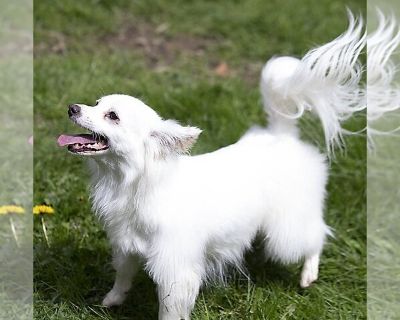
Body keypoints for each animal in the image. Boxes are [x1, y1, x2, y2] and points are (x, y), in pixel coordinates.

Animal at [57, 14, 366, 320]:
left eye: (112, 116)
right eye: (95, 103)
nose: (72, 107)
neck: (133, 184)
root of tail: (282, 134)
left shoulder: (175, 270)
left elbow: (169, 309)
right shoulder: (126, 247)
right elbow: (122, 276)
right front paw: (112, 300)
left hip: (287, 231)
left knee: (316, 237)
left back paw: (308, 274)